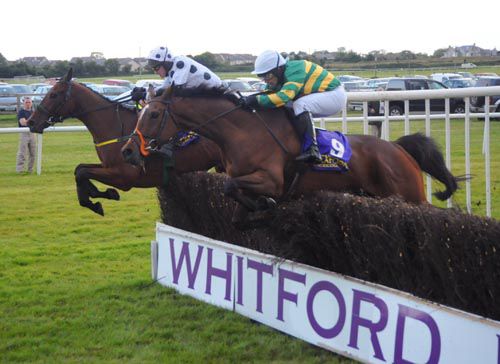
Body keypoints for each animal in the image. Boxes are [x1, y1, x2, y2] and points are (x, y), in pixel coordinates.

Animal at [27, 69, 223, 215]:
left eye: (54, 94)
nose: (31, 122)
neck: (114, 125)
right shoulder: (108, 166)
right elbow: (79, 169)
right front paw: (95, 196)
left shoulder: (124, 176)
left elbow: (83, 172)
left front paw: (99, 196)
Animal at [122, 88, 464, 225]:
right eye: (143, 112)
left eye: (153, 114)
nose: (127, 150)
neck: (241, 131)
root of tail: (397, 148)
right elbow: (234, 203)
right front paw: (261, 210)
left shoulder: (271, 179)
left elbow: (232, 187)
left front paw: (267, 204)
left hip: (408, 193)